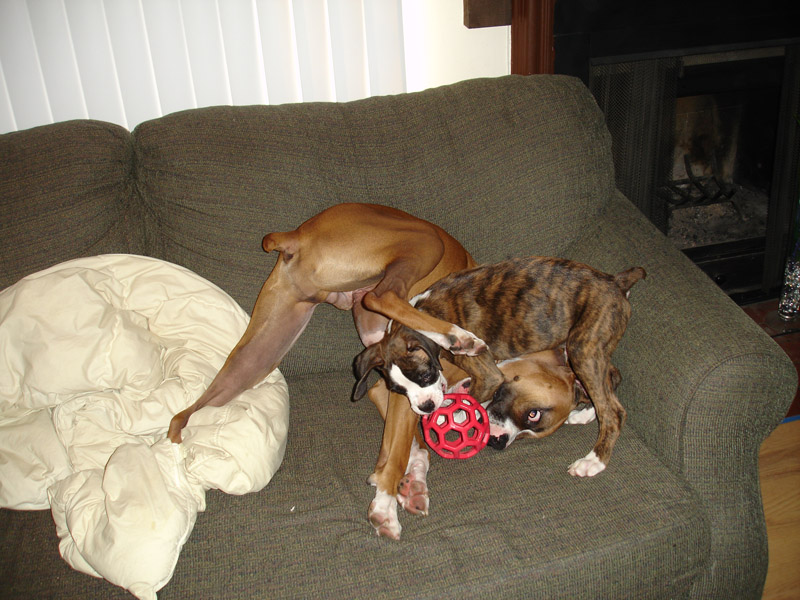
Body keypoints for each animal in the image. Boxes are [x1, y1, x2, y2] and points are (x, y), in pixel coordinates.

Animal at [166, 203, 487, 540]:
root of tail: (296, 234)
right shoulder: (406, 383)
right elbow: (399, 451)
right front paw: (386, 507)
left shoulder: (389, 387)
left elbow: (408, 446)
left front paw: (411, 485)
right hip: (424, 239)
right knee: (382, 295)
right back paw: (458, 336)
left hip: (257, 355)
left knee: (183, 413)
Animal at [353, 256, 645, 477]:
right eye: (398, 391)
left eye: (426, 376)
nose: (425, 408)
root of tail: (615, 280)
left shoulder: (488, 375)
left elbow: (472, 402)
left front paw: (455, 415)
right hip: (589, 349)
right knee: (610, 382)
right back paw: (583, 415)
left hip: (582, 347)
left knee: (613, 409)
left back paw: (593, 461)